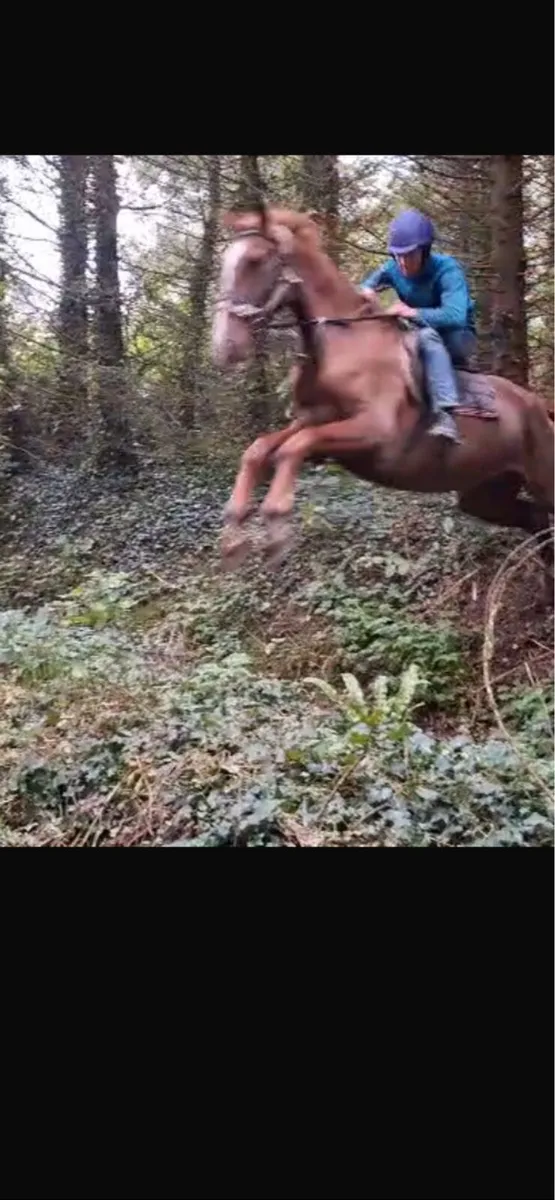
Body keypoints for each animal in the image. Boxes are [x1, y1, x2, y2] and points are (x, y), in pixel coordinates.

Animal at [210, 204, 554, 583]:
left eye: (255, 260)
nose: (224, 347)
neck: (344, 341)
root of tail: (539, 407)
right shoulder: (313, 421)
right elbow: (260, 449)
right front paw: (233, 538)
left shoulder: (375, 433)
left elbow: (293, 448)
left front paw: (276, 529)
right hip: (485, 492)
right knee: (536, 522)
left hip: (543, 479)